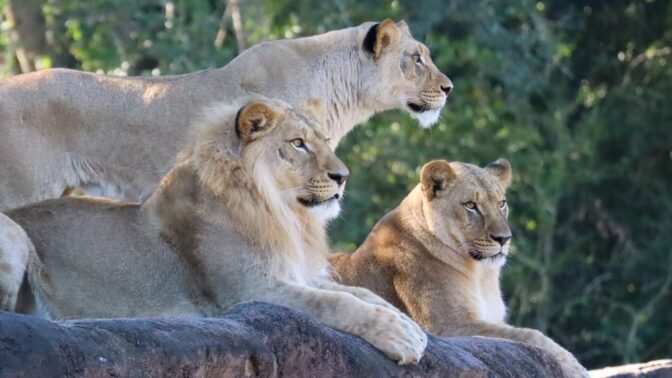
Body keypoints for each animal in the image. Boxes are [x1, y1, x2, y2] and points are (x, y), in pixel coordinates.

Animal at [5, 99, 426, 364]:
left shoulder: (292, 274)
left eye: (323, 141)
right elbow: (337, 303)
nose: (343, 177)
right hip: (13, 235)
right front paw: (400, 337)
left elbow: (362, 293)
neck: (281, 213)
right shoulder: (250, 292)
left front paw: (411, 327)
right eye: (298, 143)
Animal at [330, 159, 588, 376]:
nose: (504, 238)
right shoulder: (448, 326)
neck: (482, 276)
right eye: (471, 205)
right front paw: (576, 369)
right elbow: (530, 336)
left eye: (501, 204)